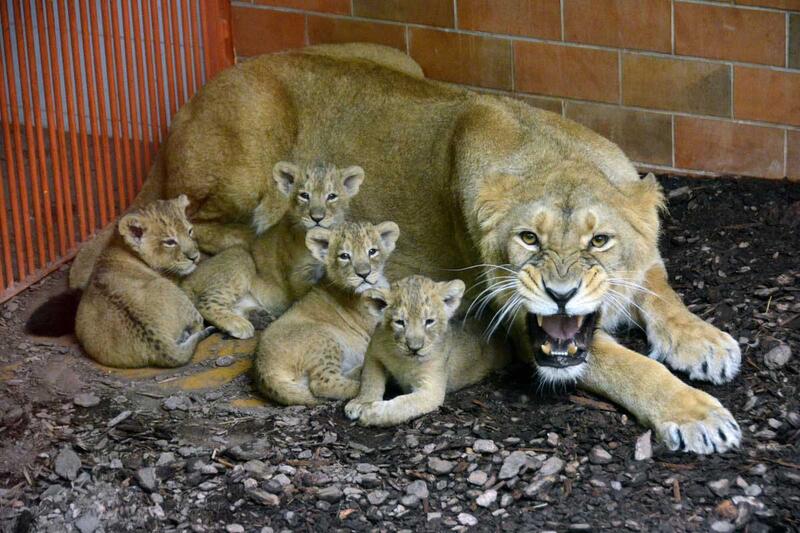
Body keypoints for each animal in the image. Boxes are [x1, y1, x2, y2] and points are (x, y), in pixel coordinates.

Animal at [345, 275, 509, 426]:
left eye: (429, 321)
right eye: (400, 322)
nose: (414, 348)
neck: (403, 360)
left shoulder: (430, 389)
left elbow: (405, 403)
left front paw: (372, 413)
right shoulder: (374, 353)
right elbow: (370, 379)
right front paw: (361, 402)